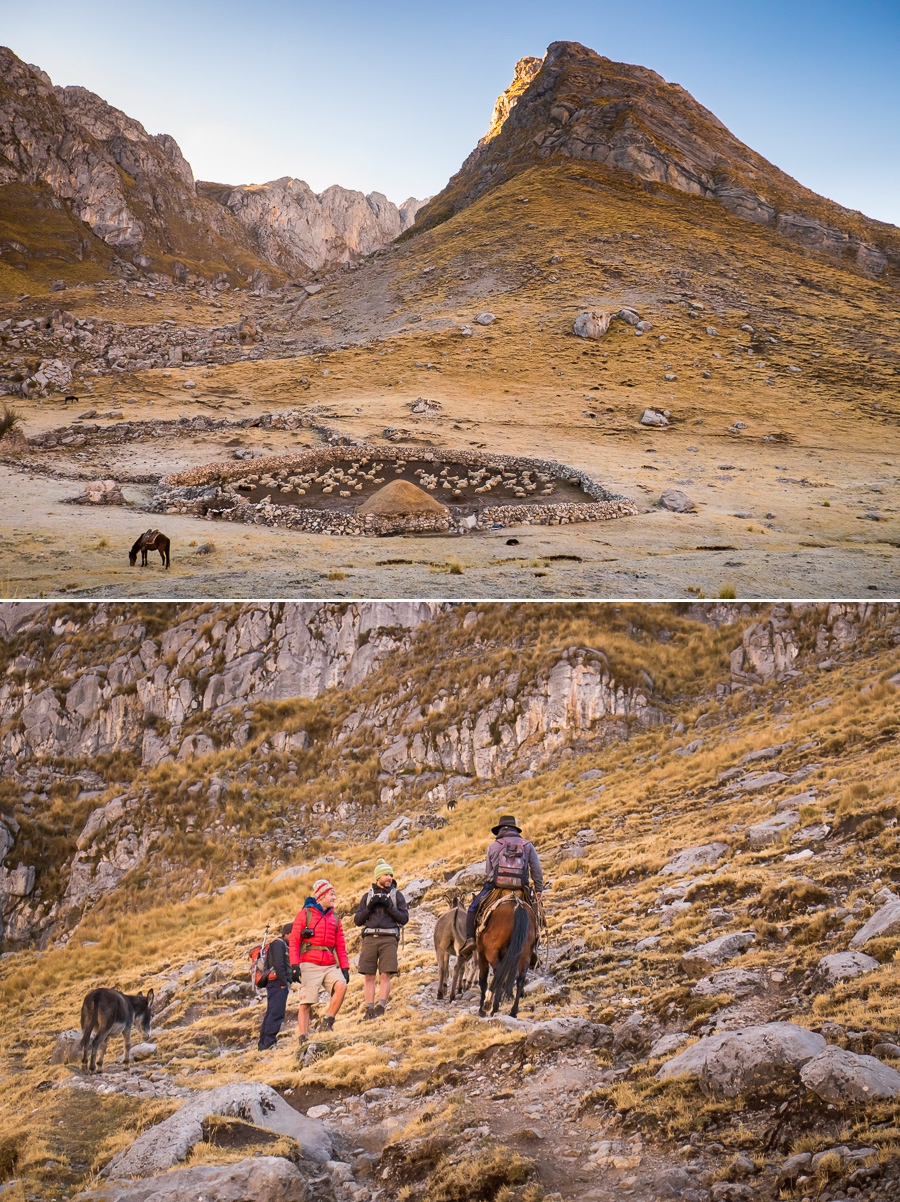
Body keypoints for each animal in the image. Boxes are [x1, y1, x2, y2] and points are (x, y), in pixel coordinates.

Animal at [473, 889, 538, 1019]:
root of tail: (518, 906)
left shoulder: (482, 954)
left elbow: (483, 980)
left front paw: (482, 1010)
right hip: (525, 953)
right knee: (520, 978)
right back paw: (513, 1011)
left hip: (491, 952)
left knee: (499, 975)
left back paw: (491, 1007)